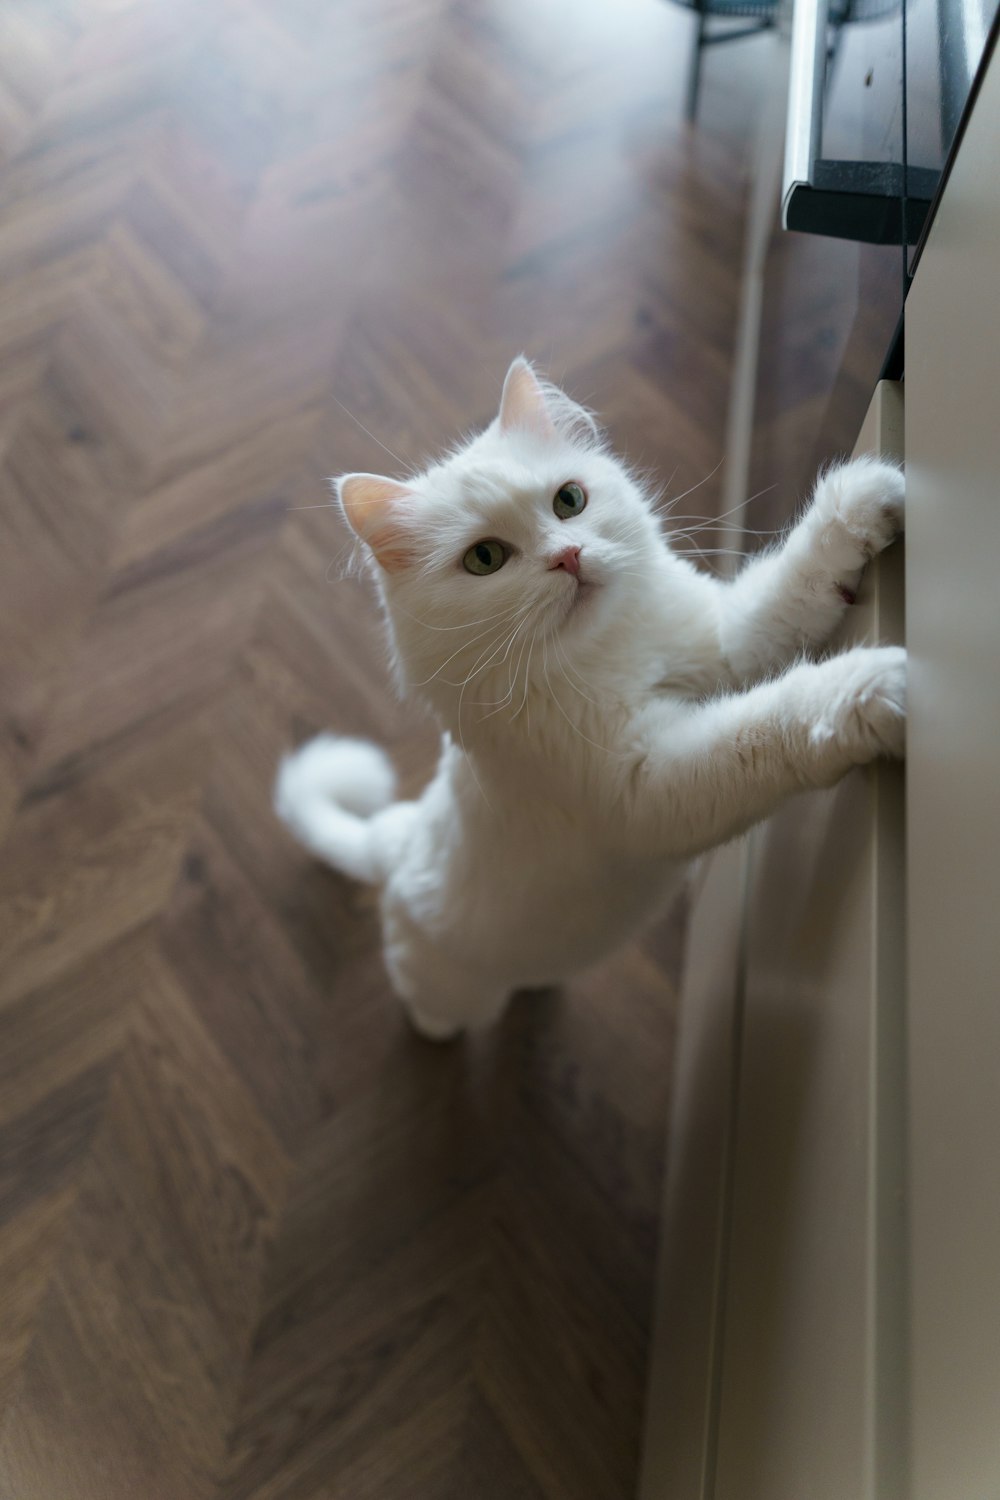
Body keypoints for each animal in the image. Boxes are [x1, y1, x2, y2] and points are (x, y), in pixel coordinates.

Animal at [275, 361, 905, 1038]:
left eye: (569, 501)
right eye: (485, 558)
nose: (568, 557)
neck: (606, 652)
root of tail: (395, 838)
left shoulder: (726, 648)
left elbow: (794, 585)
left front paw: (867, 496)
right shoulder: (646, 786)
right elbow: (777, 718)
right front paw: (879, 686)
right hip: (448, 987)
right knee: (435, 1010)